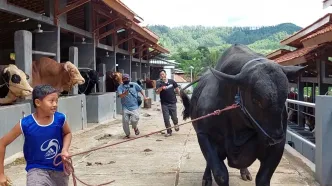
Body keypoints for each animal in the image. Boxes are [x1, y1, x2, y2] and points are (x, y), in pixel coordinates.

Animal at [179, 44, 306, 185]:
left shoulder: (277, 147)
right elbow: (219, 173)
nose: (276, 136)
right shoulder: (204, 135)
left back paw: (245, 172)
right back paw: (206, 179)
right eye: (256, 99)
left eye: (285, 96)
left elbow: (263, 178)